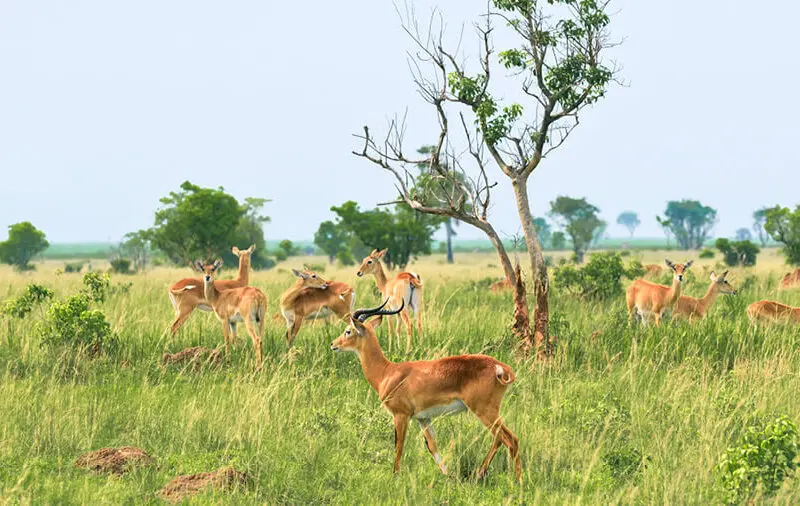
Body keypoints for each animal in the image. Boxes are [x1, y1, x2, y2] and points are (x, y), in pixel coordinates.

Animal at [330, 299, 521, 481]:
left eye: (348, 331)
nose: (333, 344)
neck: (387, 372)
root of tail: (500, 368)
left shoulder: (401, 415)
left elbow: (399, 446)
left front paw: (395, 476)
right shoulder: (423, 418)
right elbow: (432, 446)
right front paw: (448, 475)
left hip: (484, 411)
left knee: (510, 439)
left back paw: (516, 481)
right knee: (500, 438)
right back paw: (481, 474)